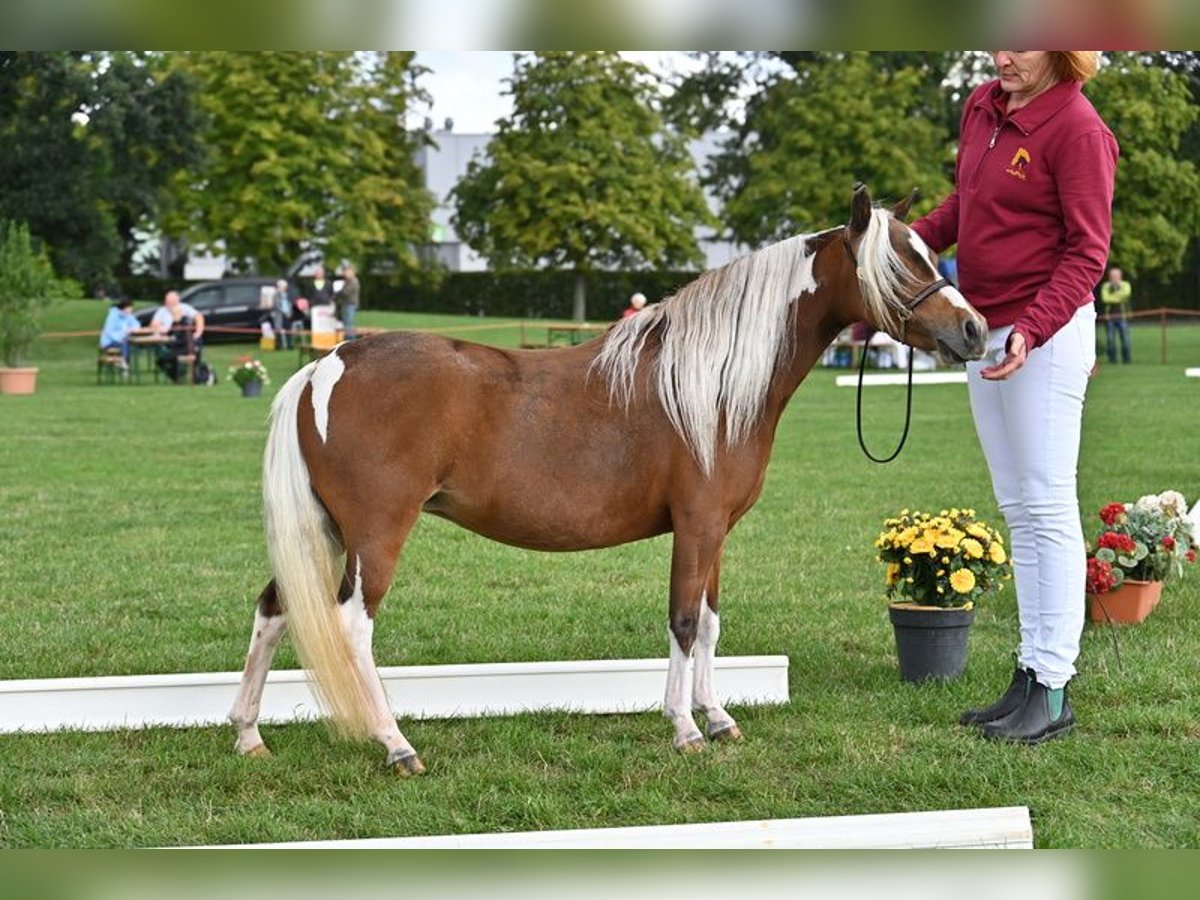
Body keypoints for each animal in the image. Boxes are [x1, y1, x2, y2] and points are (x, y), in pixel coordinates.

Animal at [226, 184, 984, 777]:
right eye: (900, 260)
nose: (975, 330)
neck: (711, 382)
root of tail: (327, 365)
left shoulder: (716, 532)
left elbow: (711, 624)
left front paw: (719, 717)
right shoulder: (695, 526)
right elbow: (683, 622)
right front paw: (684, 729)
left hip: (327, 530)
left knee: (274, 608)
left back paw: (249, 734)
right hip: (376, 535)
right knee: (351, 624)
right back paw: (395, 743)